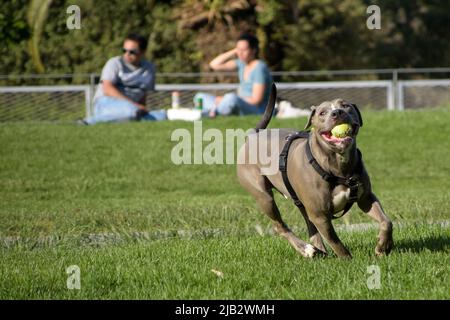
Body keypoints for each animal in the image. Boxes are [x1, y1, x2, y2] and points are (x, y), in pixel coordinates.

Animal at [237, 84, 392, 258]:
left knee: (310, 226)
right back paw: (307, 249)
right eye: (322, 113)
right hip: (264, 197)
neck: (338, 165)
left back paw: (317, 251)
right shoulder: (320, 215)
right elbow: (335, 242)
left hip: (301, 202)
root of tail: (252, 136)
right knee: (280, 226)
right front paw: (348, 260)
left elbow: (386, 222)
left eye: (346, 105)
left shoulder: (366, 198)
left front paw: (383, 247)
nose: (337, 112)